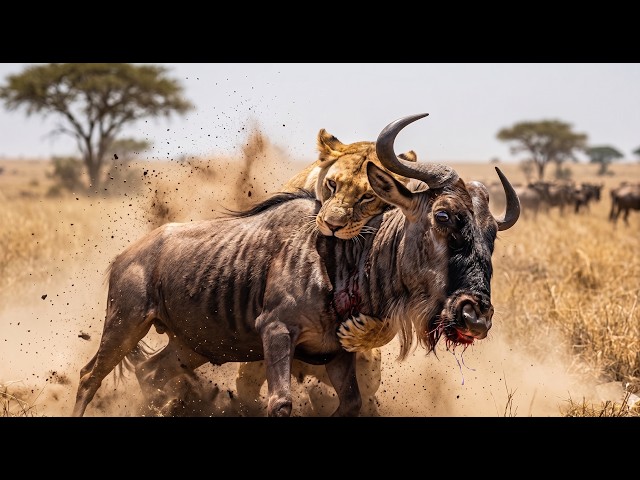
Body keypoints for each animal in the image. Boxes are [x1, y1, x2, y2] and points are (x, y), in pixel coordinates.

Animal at [235, 128, 418, 415]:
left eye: (368, 196)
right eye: (332, 184)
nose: (332, 225)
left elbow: (388, 324)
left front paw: (358, 333)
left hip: (364, 376)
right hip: (253, 365)